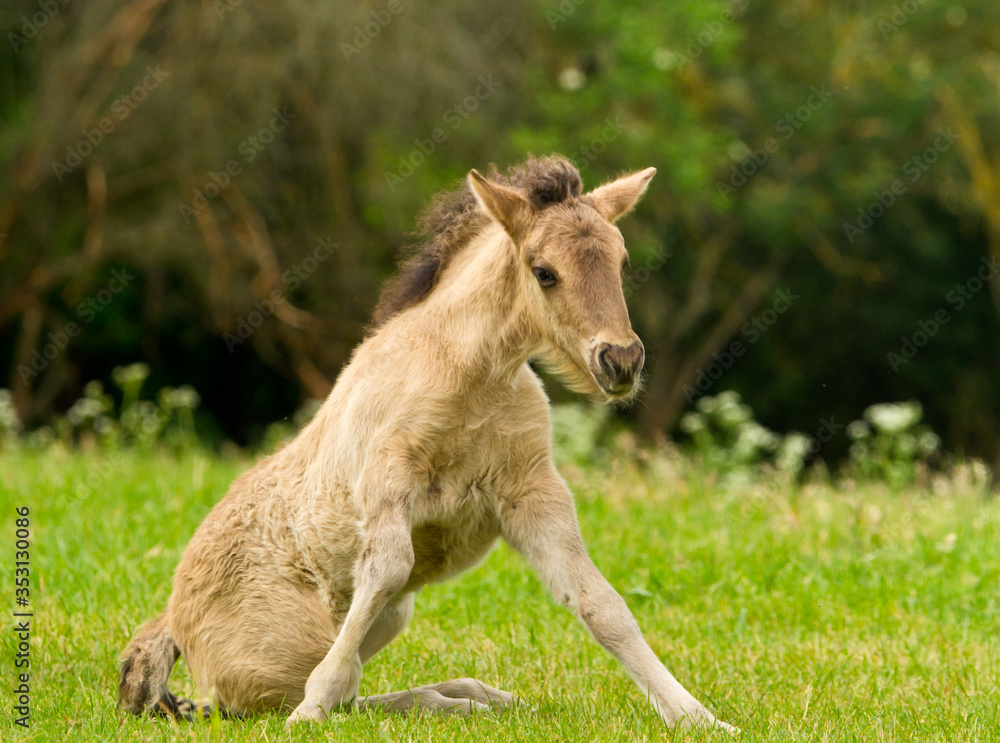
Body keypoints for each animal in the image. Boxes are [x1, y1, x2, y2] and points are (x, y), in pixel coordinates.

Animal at [121, 157, 736, 732]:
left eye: (622, 262)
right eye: (544, 272)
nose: (620, 360)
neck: (474, 374)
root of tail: (173, 624)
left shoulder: (532, 492)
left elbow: (602, 604)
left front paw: (700, 718)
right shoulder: (389, 481)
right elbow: (388, 570)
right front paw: (311, 710)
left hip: (391, 617)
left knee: (358, 696)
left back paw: (478, 696)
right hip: (284, 655)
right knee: (310, 699)